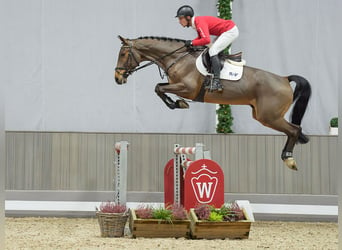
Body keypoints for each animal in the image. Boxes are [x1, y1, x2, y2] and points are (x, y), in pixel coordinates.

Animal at [113, 35, 312, 172]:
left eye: (123, 54)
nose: (117, 78)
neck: (177, 58)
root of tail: (284, 79)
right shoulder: (176, 86)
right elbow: (159, 88)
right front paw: (177, 103)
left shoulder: (187, 88)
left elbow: (159, 88)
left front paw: (178, 103)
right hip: (261, 115)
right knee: (294, 130)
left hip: (269, 117)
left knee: (294, 130)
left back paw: (289, 159)